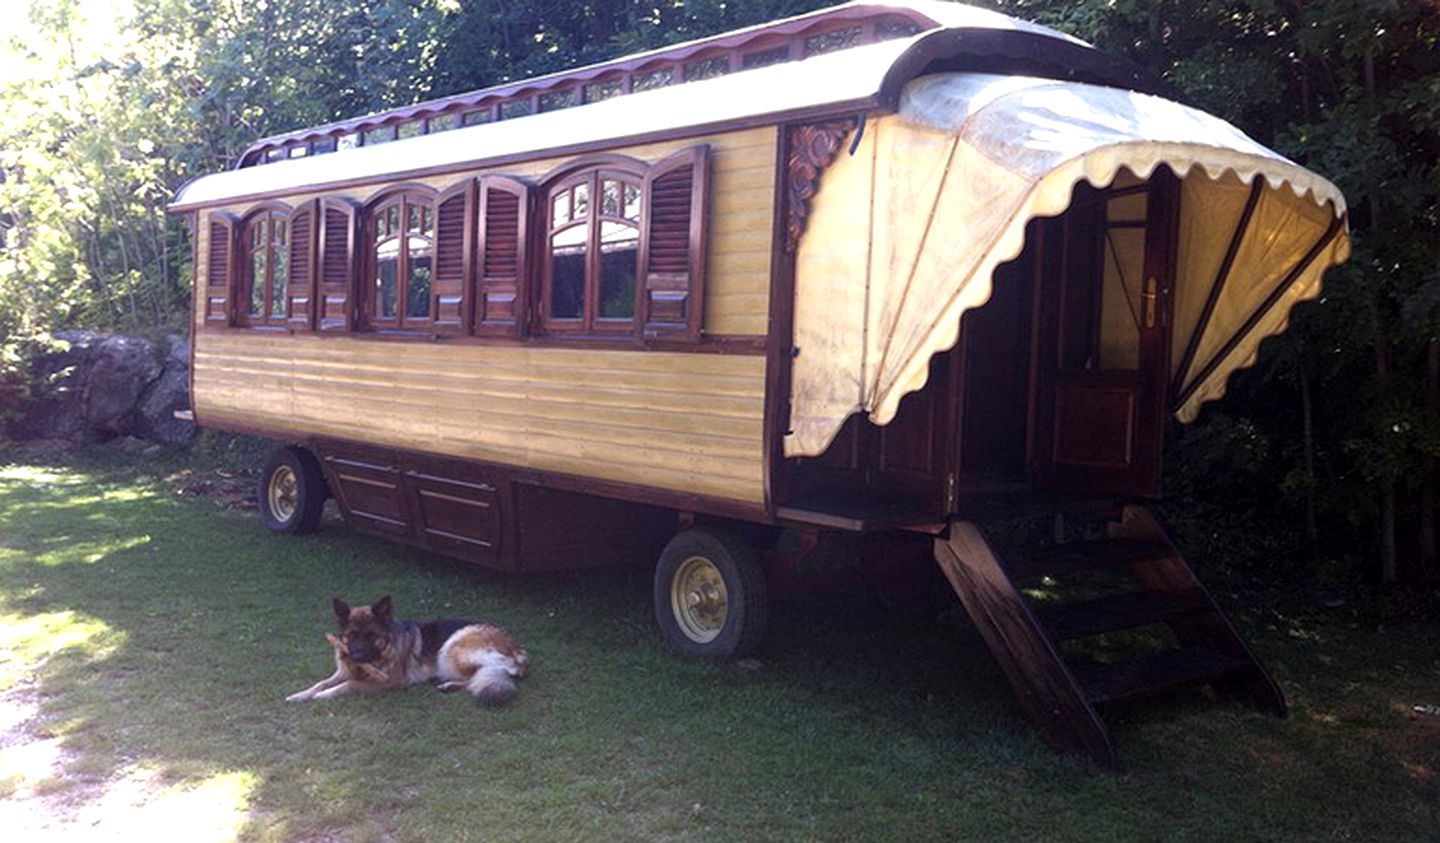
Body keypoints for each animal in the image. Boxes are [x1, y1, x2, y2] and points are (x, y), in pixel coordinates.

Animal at [282, 593, 529, 706]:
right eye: (351, 636)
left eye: (371, 636)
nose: (358, 656)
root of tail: (517, 651)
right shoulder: (343, 671)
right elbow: (321, 682)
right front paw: (300, 694)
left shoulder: (390, 682)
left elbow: (349, 685)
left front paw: (324, 695)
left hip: (452, 647)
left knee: (476, 679)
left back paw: (448, 684)